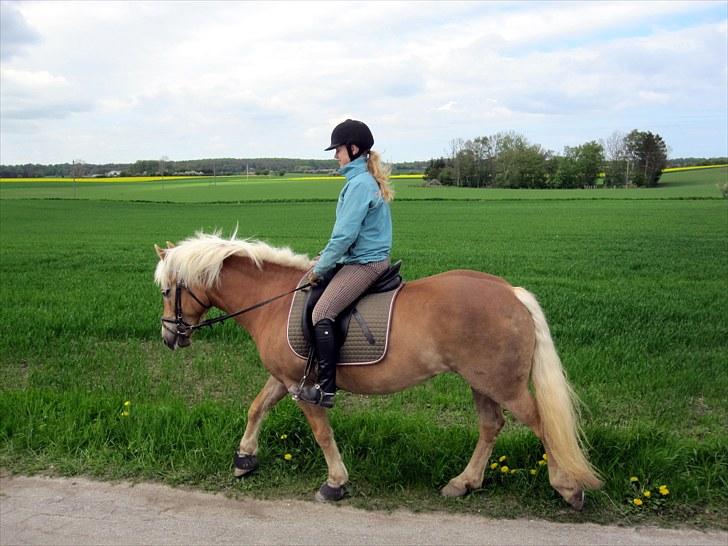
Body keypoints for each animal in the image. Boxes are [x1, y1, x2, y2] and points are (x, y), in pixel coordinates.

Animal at [155, 230, 604, 506]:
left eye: (165, 290)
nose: (169, 337)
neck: (273, 300)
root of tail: (510, 292)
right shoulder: (285, 378)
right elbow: (256, 407)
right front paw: (244, 459)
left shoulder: (303, 386)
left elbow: (321, 433)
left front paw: (335, 483)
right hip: (482, 382)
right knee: (491, 426)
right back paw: (464, 483)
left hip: (504, 385)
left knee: (541, 425)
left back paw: (567, 488)